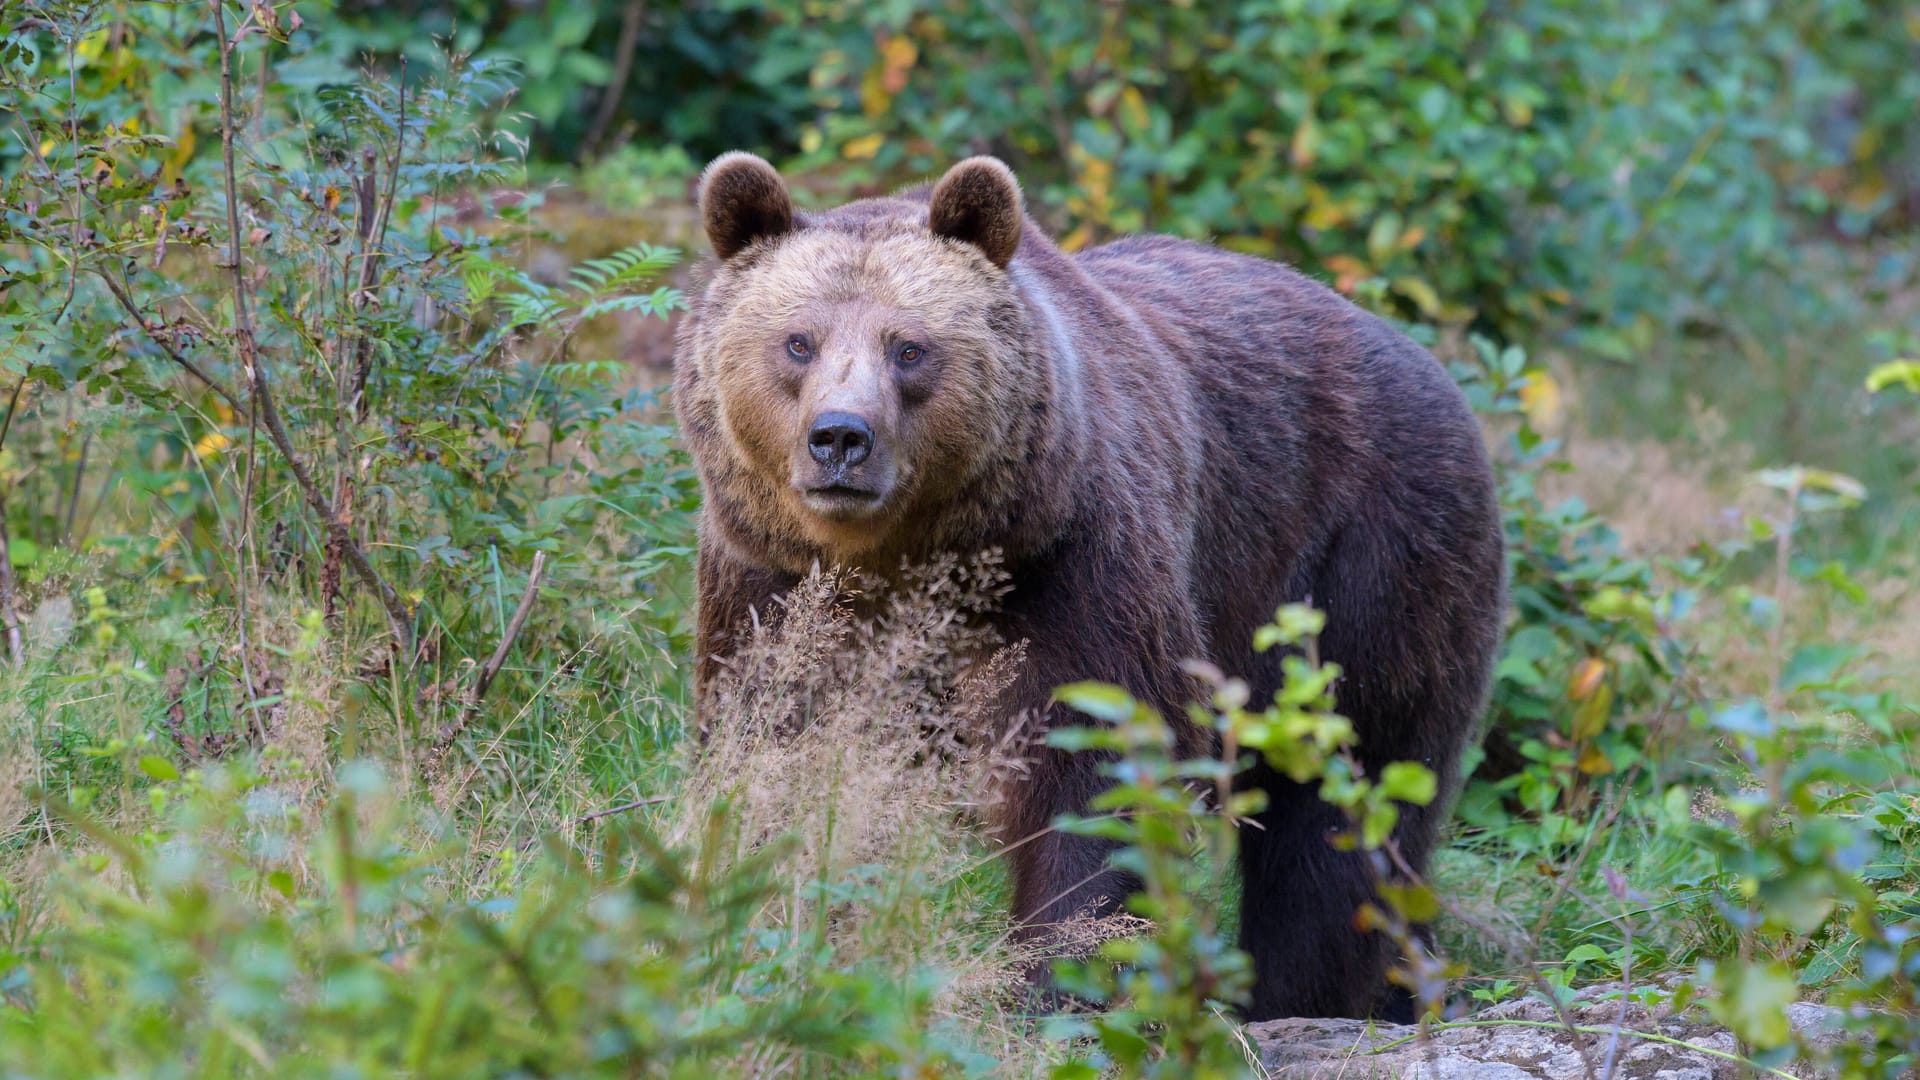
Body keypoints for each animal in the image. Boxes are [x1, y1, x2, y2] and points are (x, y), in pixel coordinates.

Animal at [683, 151, 1505, 1014]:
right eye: (798, 342)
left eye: (909, 348)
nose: (841, 437)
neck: (907, 558)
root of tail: (1431, 364)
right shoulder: (772, 585)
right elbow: (776, 743)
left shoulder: (1073, 565)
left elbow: (1098, 763)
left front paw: (1059, 976)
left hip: (1371, 558)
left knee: (1348, 797)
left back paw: (1317, 996)